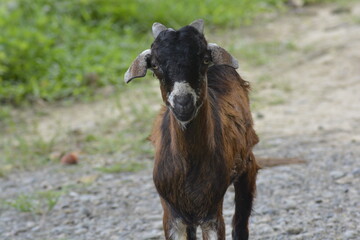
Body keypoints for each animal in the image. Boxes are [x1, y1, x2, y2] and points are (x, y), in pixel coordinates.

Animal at [125, 19, 260, 239]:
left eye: (204, 59)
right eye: (155, 65)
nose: (183, 104)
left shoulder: (211, 212)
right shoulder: (171, 213)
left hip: (247, 165)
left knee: (240, 223)